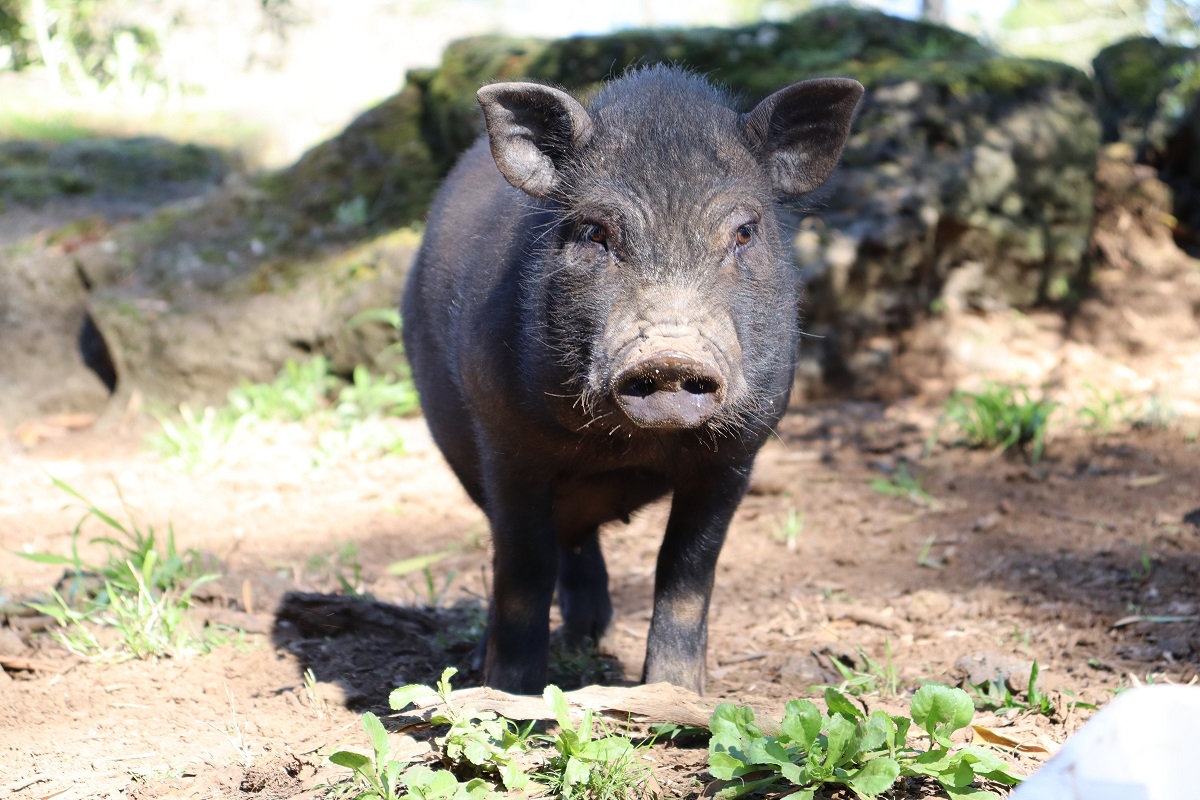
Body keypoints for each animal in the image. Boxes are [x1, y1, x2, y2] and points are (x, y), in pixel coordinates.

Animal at [401, 65, 862, 695]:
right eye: (594, 232)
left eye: (745, 232)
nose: (669, 357)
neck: (626, 447)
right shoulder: (505, 443)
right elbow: (522, 566)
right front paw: (510, 692)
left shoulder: (737, 454)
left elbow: (687, 571)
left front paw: (675, 694)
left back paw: (590, 639)